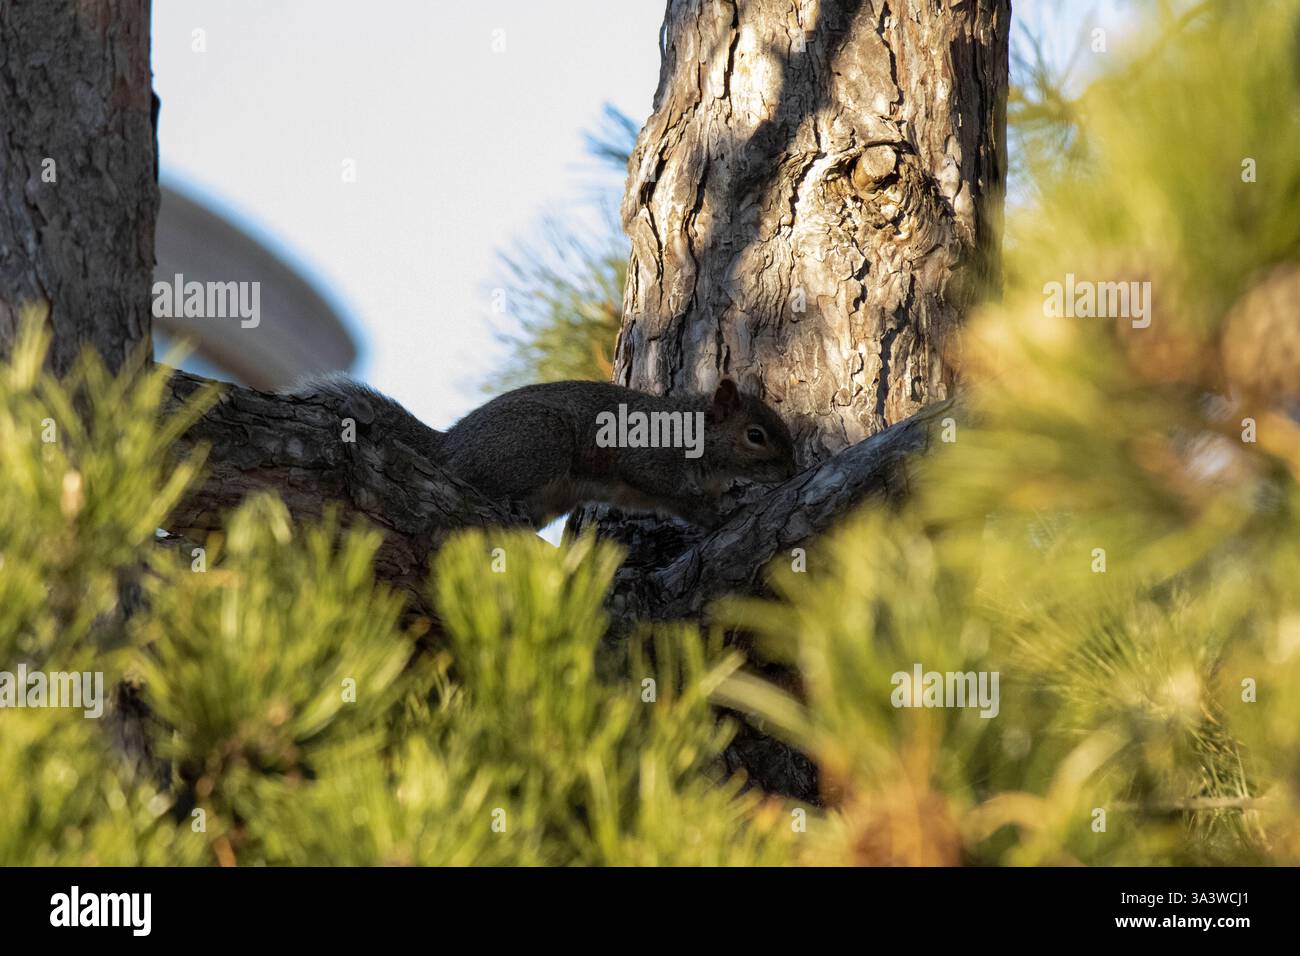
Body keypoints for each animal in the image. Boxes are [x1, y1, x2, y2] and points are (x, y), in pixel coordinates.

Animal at [294, 376, 798, 528]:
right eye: (756, 435)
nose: (793, 472)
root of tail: (448, 443)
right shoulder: (651, 458)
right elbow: (674, 496)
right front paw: (716, 514)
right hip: (539, 443)